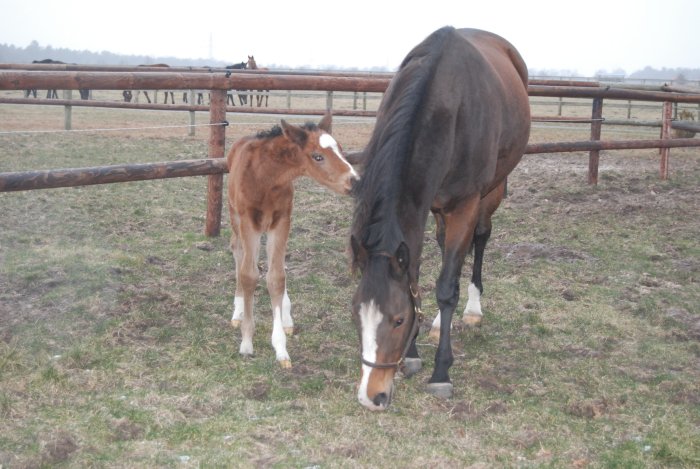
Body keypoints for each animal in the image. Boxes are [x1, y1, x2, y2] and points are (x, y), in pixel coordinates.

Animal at [227, 112, 358, 366]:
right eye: (317, 156)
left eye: (340, 149)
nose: (356, 181)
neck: (265, 178)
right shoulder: (249, 222)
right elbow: (249, 275)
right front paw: (246, 342)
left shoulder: (282, 221)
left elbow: (277, 277)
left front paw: (280, 347)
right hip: (235, 216)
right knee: (237, 251)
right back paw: (237, 311)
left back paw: (286, 316)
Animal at [350, 26, 532, 410]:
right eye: (357, 312)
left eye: (398, 319)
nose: (372, 396)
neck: (446, 109)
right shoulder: (419, 211)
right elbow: (418, 280)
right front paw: (413, 354)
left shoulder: (466, 204)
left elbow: (447, 287)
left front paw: (441, 372)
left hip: (490, 192)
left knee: (479, 240)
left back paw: (474, 308)